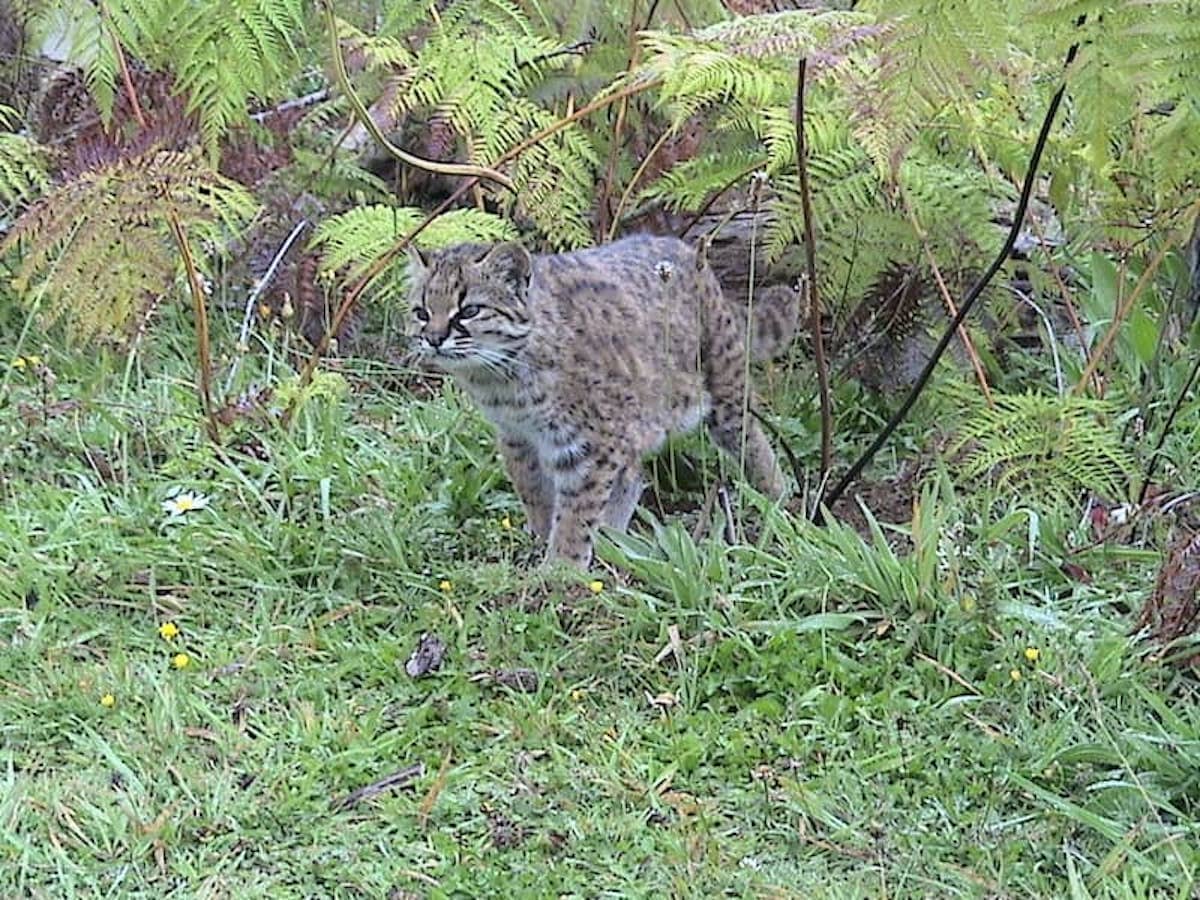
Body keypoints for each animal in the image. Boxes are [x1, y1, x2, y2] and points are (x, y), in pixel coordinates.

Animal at [405, 236, 796, 566]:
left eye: (468, 310)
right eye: (421, 312)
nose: (434, 338)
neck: (502, 380)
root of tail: (686, 249)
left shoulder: (589, 443)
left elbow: (576, 512)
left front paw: (560, 571)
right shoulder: (518, 437)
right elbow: (533, 491)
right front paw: (544, 541)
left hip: (724, 389)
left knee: (751, 441)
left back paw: (780, 499)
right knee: (633, 475)